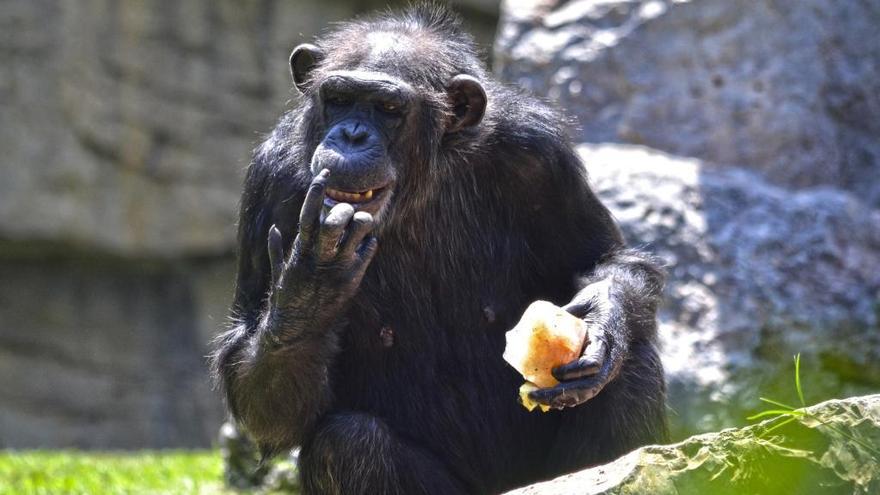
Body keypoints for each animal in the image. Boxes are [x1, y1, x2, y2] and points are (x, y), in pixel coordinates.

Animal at [213, 4, 668, 495]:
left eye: (388, 108)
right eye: (338, 97)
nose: (351, 135)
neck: (417, 189)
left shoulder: (541, 157)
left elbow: (604, 259)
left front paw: (603, 324)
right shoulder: (270, 182)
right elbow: (265, 404)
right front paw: (311, 283)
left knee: (633, 363)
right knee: (347, 444)